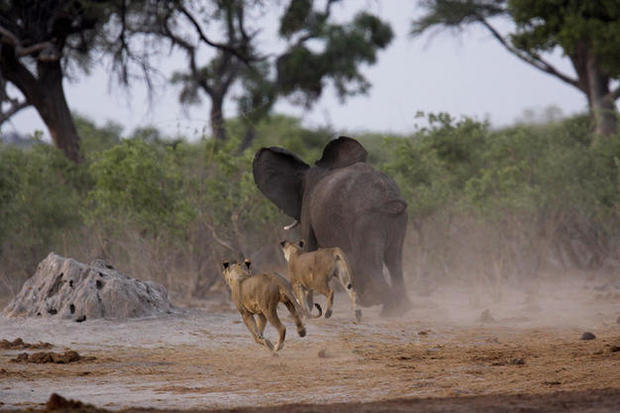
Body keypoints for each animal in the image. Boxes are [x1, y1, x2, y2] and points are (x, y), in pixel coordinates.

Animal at [252, 136, 412, 316]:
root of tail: (387, 195)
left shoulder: (308, 209)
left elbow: (309, 247)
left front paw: (308, 311)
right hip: (397, 219)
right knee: (394, 259)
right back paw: (397, 308)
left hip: (366, 219)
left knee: (369, 260)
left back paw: (378, 301)